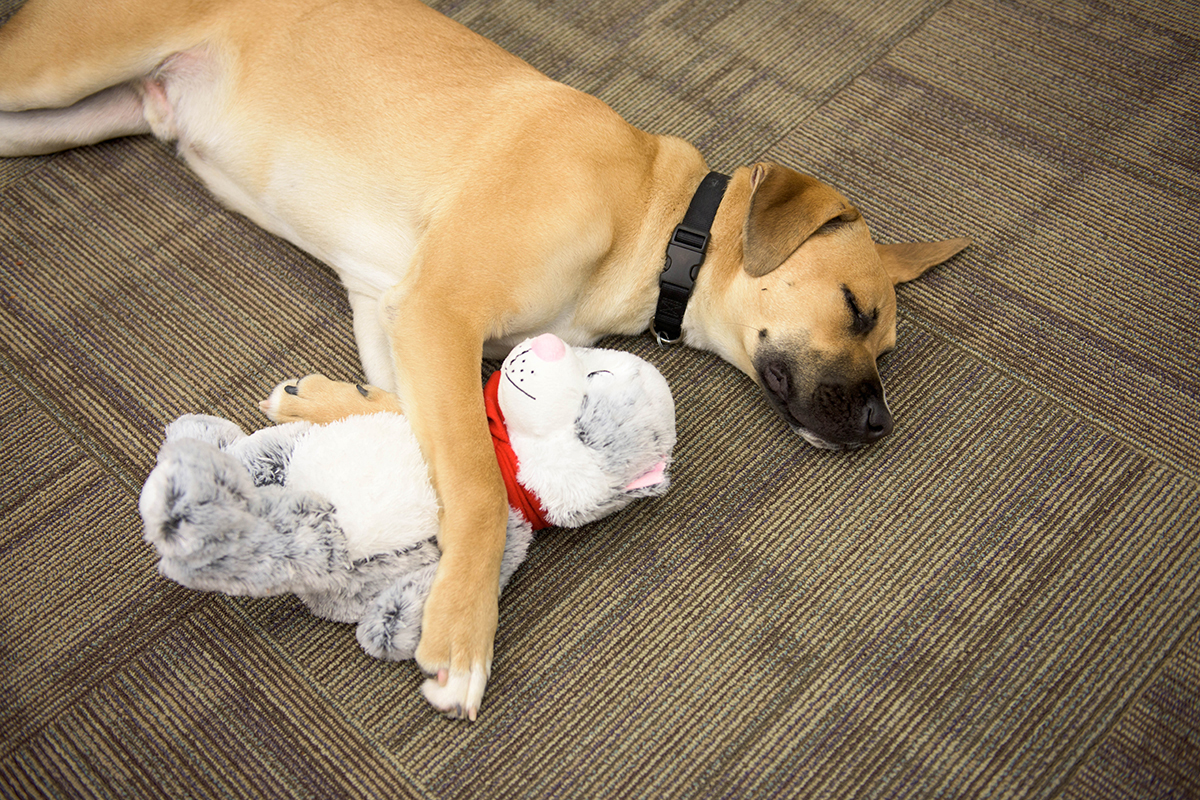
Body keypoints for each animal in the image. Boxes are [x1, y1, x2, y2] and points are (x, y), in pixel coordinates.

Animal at [0, 0, 969, 719]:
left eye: (884, 340)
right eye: (854, 309)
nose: (880, 424)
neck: (656, 219)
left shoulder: (396, 308)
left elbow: (413, 414)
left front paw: (313, 400)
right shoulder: (439, 305)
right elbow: (473, 477)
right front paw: (462, 633)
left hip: (60, 120)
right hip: (56, 67)